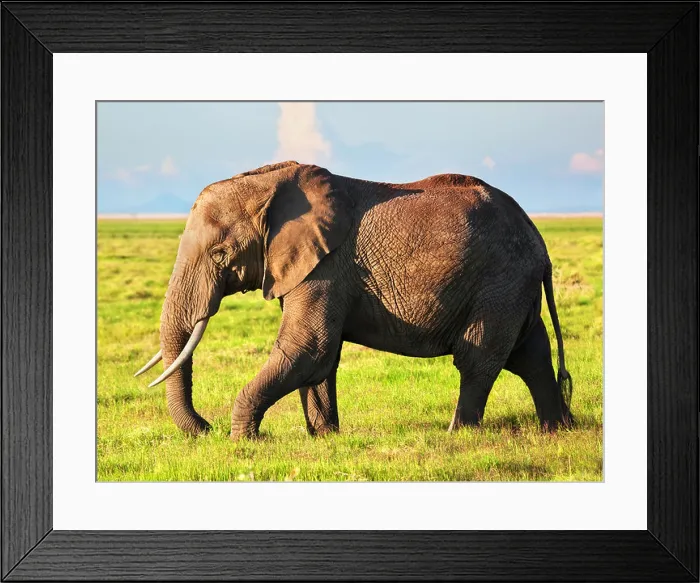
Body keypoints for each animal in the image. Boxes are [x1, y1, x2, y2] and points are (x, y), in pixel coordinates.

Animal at [135, 161, 573, 440]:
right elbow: (319, 358)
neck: (271, 182)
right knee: (531, 356)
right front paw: (325, 437)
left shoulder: (326, 266)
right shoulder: (307, 267)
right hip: (513, 288)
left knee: (478, 357)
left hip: (500, 282)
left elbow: (308, 347)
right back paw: (557, 429)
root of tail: (539, 241)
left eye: (220, 255)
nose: (205, 428)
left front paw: (244, 439)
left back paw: (457, 435)